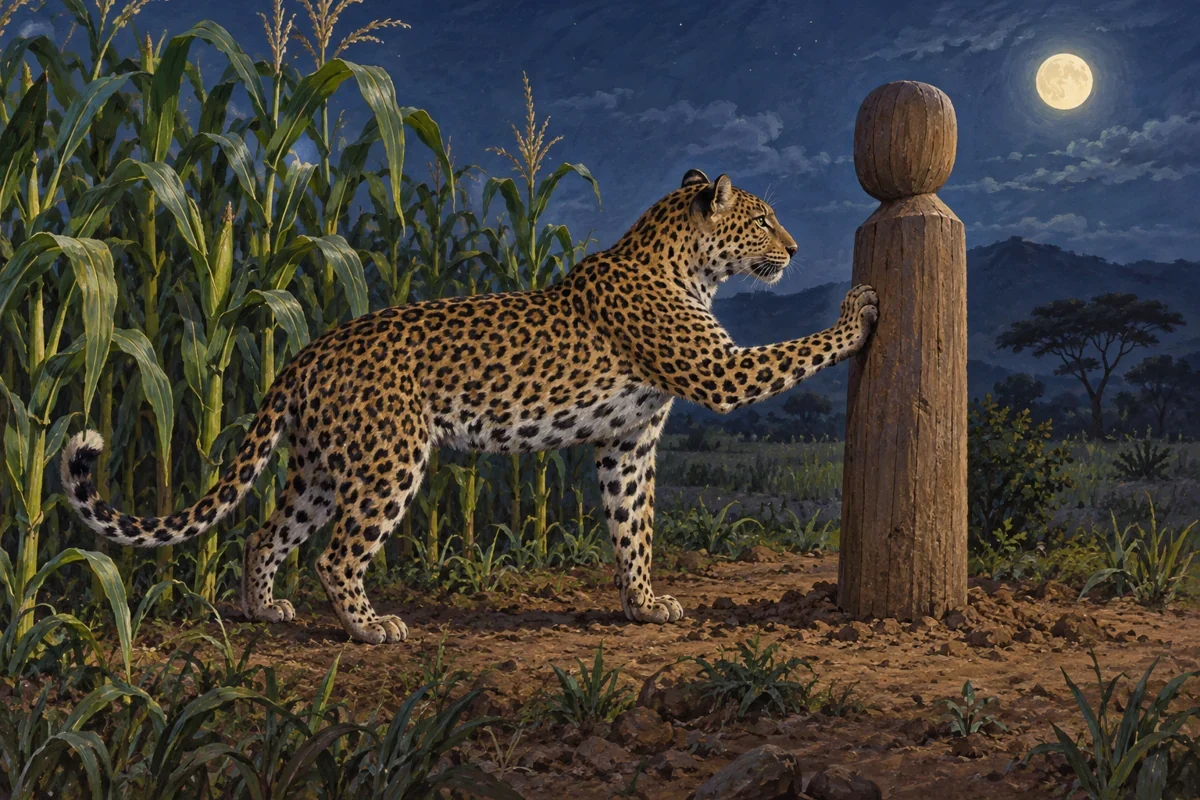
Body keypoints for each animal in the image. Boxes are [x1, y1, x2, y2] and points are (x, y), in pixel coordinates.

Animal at [60, 169, 879, 645]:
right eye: (763, 221)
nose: (795, 248)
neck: (689, 266)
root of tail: (306, 352)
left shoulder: (630, 441)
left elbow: (634, 527)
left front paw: (645, 604)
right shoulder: (719, 373)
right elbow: (798, 348)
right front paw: (858, 309)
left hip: (321, 468)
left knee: (265, 534)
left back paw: (264, 609)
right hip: (388, 460)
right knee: (335, 554)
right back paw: (371, 628)